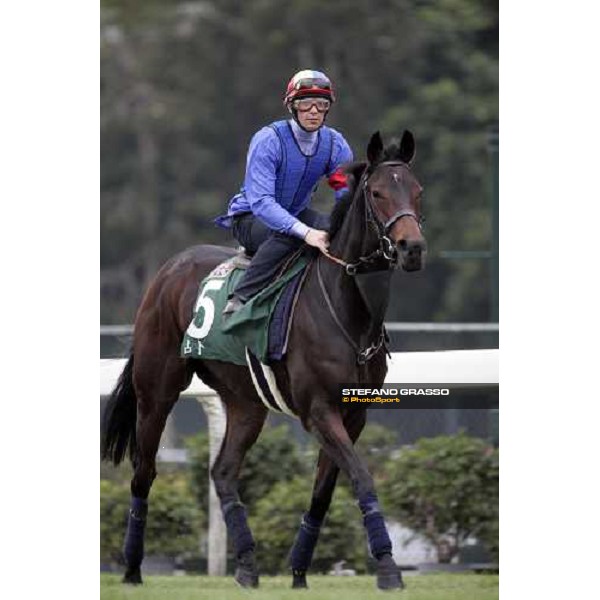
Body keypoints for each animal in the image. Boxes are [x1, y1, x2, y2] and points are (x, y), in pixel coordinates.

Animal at [101, 130, 426, 592]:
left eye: (417, 191)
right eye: (378, 192)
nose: (411, 247)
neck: (348, 310)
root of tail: (167, 270)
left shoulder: (354, 413)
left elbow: (323, 493)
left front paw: (299, 572)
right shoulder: (318, 410)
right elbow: (362, 476)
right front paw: (387, 568)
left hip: (245, 403)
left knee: (222, 472)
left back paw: (247, 565)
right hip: (156, 391)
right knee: (143, 472)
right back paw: (131, 569)